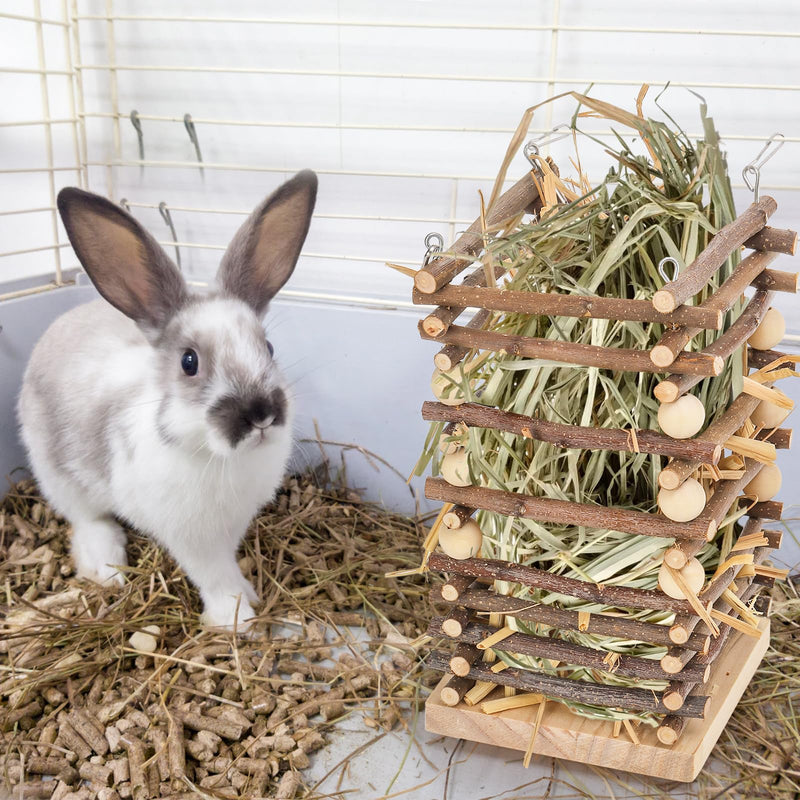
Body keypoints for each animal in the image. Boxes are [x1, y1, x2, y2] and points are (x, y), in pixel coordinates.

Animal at [17, 170, 317, 631]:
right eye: (188, 362)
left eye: (268, 347)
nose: (261, 414)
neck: (217, 456)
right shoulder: (191, 540)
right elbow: (214, 576)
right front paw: (235, 619)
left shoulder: (230, 529)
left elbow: (229, 566)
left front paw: (248, 593)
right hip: (57, 475)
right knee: (86, 518)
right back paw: (107, 564)